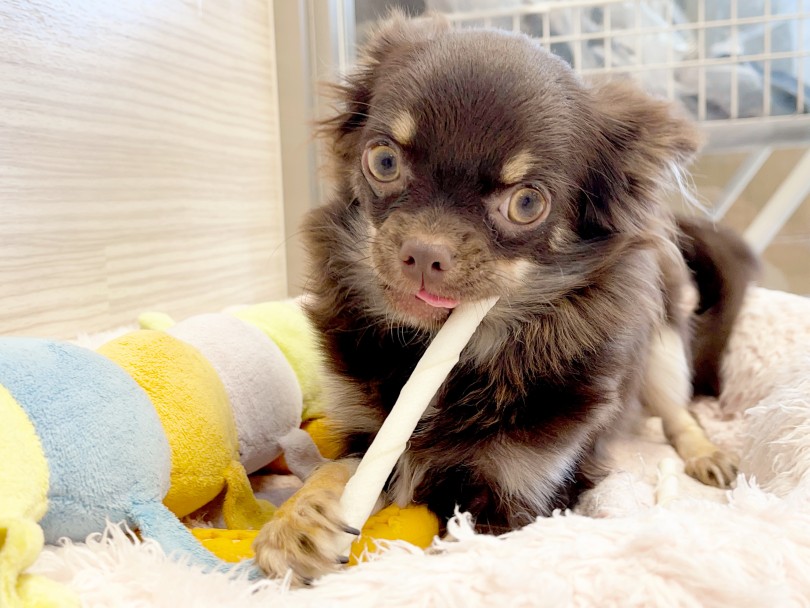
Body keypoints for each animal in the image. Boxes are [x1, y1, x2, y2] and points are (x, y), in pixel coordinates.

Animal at [254, 13, 756, 580]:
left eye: (527, 203)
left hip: (664, 346)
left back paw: (705, 453)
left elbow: (459, 550)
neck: (452, 357)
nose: (423, 252)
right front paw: (297, 520)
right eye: (383, 161)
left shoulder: (521, 494)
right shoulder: (369, 436)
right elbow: (338, 469)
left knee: (677, 410)